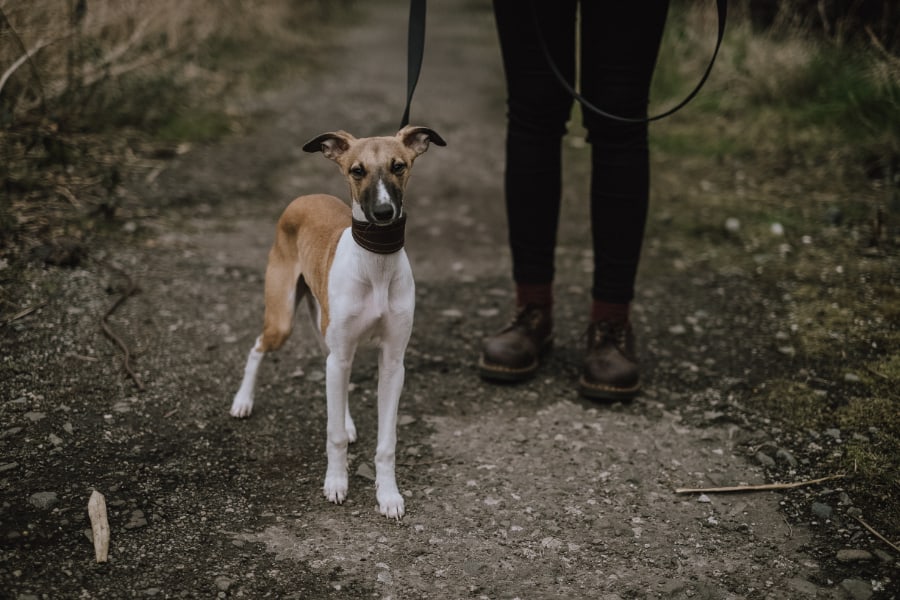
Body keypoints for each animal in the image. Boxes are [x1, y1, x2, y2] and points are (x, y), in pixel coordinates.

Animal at [230, 124, 444, 516]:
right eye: (357, 170)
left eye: (399, 166)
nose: (383, 213)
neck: (376, 263)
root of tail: (305, 196)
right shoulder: (342, 351)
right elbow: (334, 435)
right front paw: (336, 483)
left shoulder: (393, 363)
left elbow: (386, 441)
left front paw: (388, 495)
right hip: (283, 320)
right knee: (258, 347)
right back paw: (243, 401)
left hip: (328, 334)